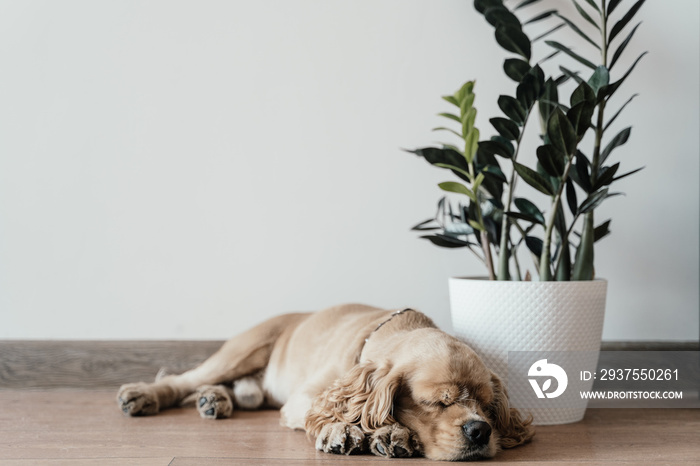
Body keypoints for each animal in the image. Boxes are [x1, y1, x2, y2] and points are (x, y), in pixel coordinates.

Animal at [116, 304, 532, 460]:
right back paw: (143, 394)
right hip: (245, 348)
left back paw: (215, 400)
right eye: (437, 402)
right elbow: (329, 414)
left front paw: (390, 434)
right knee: (184, 380)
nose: (480, 431)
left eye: (487, 406)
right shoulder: (306, 397)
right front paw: (347, 431)